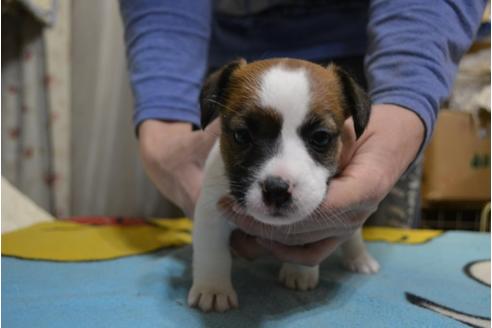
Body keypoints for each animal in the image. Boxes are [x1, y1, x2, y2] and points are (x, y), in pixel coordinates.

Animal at [189, 58, 380, 312]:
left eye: (320, 137)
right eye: (242, 135)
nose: (277, 190)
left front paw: (300, 272)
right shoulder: (211, 211)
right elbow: (211, 252)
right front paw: (212, 288)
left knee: (353, 235)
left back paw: (360, 258)